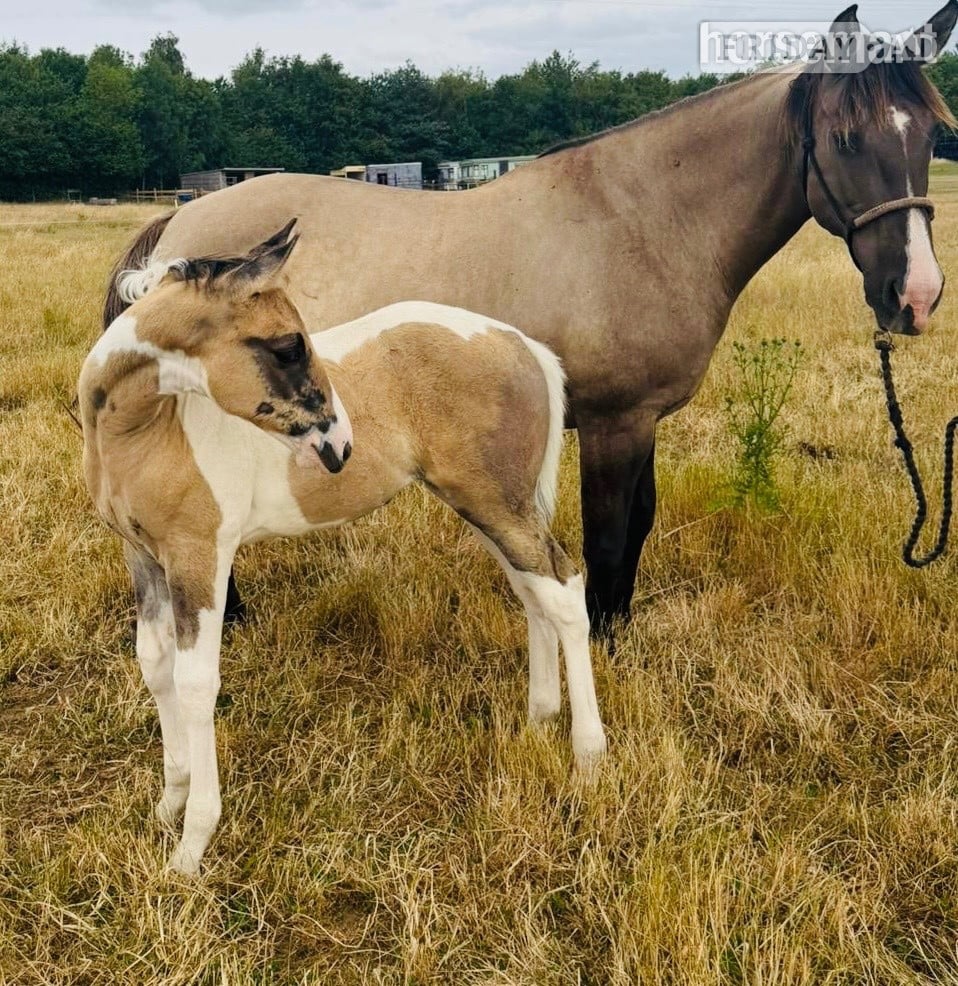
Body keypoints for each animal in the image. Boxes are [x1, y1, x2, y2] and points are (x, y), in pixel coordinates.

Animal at [80, 228, 607, 875]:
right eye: (288, 347)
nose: (340, 446)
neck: (148, 430)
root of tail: (524, 344)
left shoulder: (200, 556)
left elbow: (196, 682)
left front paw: (191, 847)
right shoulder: (143, 556)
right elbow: (155, 666)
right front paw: (167, 805)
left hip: (497, 503)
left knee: (565, 592)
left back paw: (588, 756)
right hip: (487, 503)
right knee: (533, 591)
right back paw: (539, 720)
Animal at [103, 3, 958, 635]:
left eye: (930, 136)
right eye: (845, 138)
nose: (915, 296)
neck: (642, 221)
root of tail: (177, 228)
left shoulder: (639, 419)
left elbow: (638, 524)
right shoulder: (614, 423)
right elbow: (609, 536)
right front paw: (602, 644)